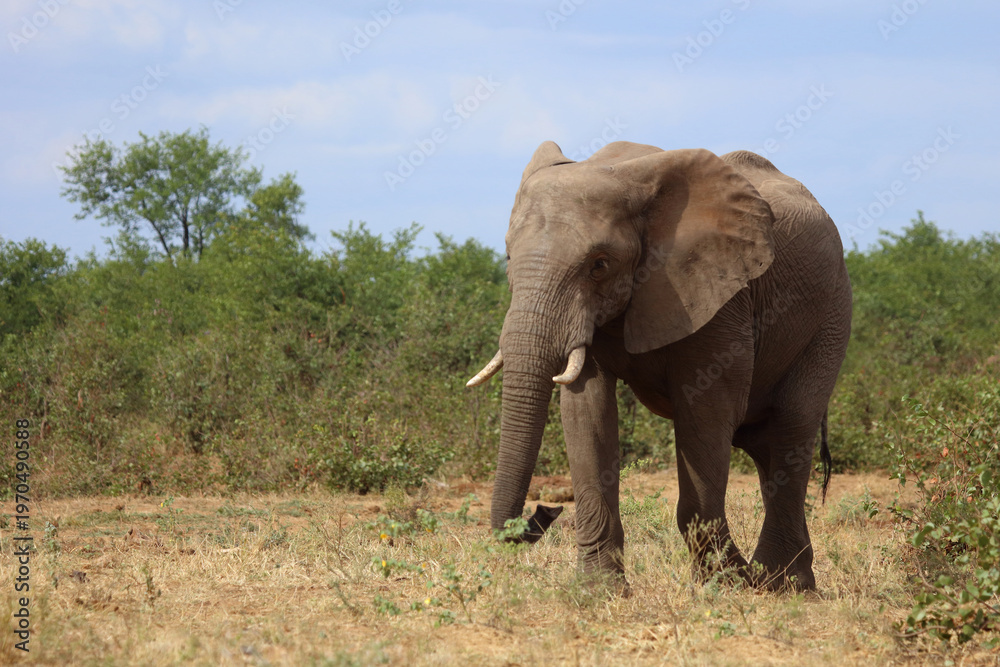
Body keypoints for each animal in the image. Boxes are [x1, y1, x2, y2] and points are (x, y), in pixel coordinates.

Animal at [467, 140, 852, 591]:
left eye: (599, 264)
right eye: (509, 255)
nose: (545, 510)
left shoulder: (718, 296)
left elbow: (708, 410)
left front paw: (724, 584)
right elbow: (586, 410)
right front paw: (599, 590)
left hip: (830, 316)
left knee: (793, 424)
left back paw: (777, 583)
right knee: (765, 446)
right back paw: (784, 579)